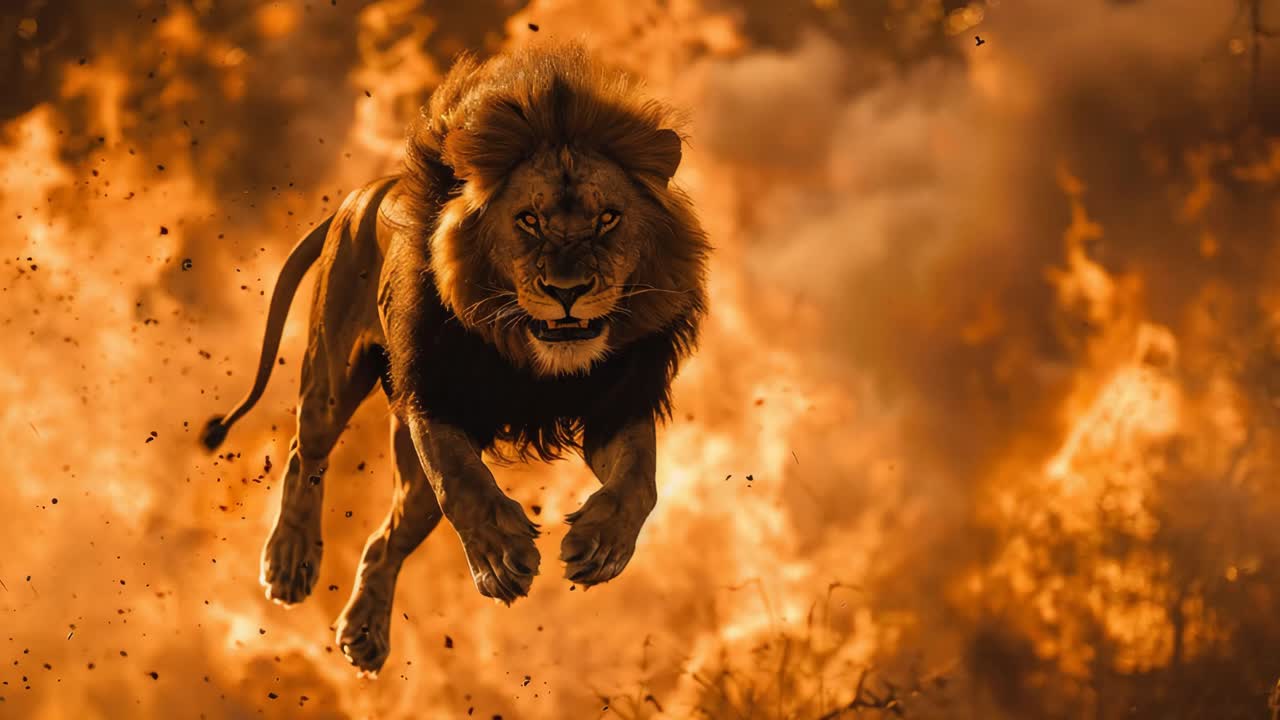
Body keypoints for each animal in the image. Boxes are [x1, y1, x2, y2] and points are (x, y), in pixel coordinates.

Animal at [199, 42, 710, 675]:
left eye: (608, 219)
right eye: (529, 220)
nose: (567, 291)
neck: (534, 354)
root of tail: (367, 190)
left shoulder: (615, 404)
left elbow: (641, 482)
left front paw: (601, 544)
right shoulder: (435, 397)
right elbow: (464, 483)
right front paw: (500, 555)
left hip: (408, 478)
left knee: (386, 539)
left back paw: (365, 631)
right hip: (330, 378)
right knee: (305, 453)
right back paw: (289, 562)